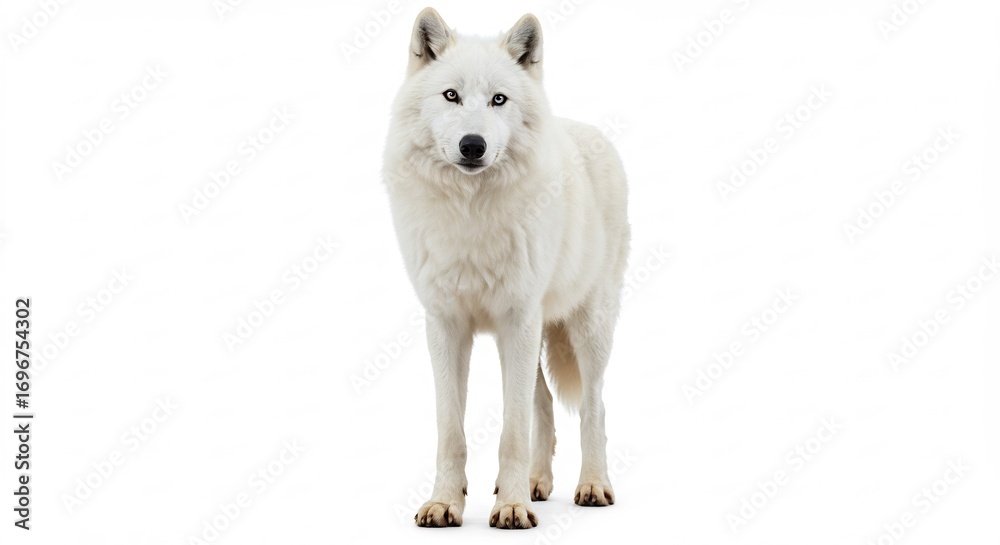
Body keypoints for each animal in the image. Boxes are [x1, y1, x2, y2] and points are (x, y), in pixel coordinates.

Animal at [383, 7, 631, 529]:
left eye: (499, 99)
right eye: (451, 95)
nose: (472, 145)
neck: (471, 215)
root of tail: (586, 129)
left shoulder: (517, 320)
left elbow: (512, 429)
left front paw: (511, 507)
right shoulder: (446, 325)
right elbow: (451, 432)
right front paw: (445, 503)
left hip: (587, 328)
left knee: (594, 406)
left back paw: (592, 486)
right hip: (534, 334)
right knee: (545, 403)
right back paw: (538, 483)